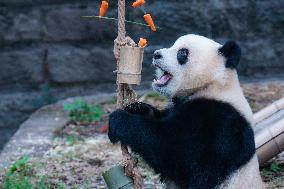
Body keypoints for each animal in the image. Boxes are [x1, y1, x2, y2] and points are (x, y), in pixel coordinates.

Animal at [108, 34, 264, 189]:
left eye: (182, 53)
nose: (156, 54)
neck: (212, 85)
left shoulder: (220, 123)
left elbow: (178, 154)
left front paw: (119, 120)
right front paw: (136, 108)